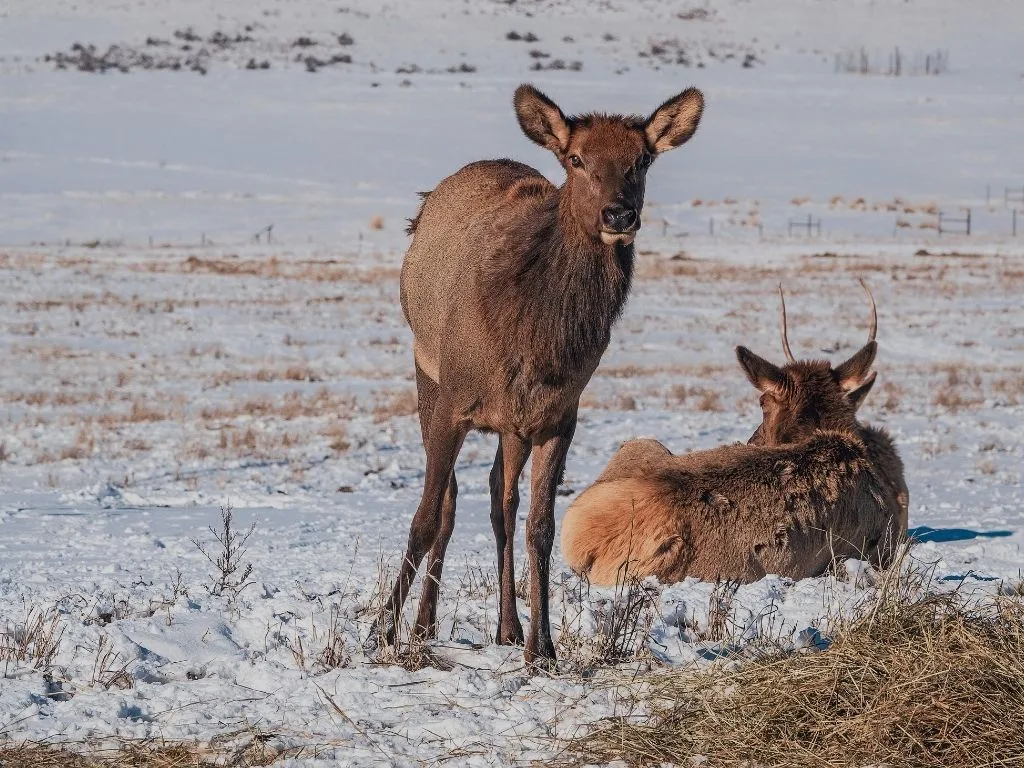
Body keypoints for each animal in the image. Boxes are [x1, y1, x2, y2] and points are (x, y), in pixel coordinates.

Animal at [366, 84, 705, 666]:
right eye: (576, 159)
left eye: (642, 160)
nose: (619, 214)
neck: (537, 335)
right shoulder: (454, 402)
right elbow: (428, 516)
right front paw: (382, 631)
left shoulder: (556, 418)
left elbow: (540, 528)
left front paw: (541, 646)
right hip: (426, 373)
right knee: (454, 502)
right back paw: (425, 623)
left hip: (511, 426)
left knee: (500, 502)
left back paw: (506, 626)